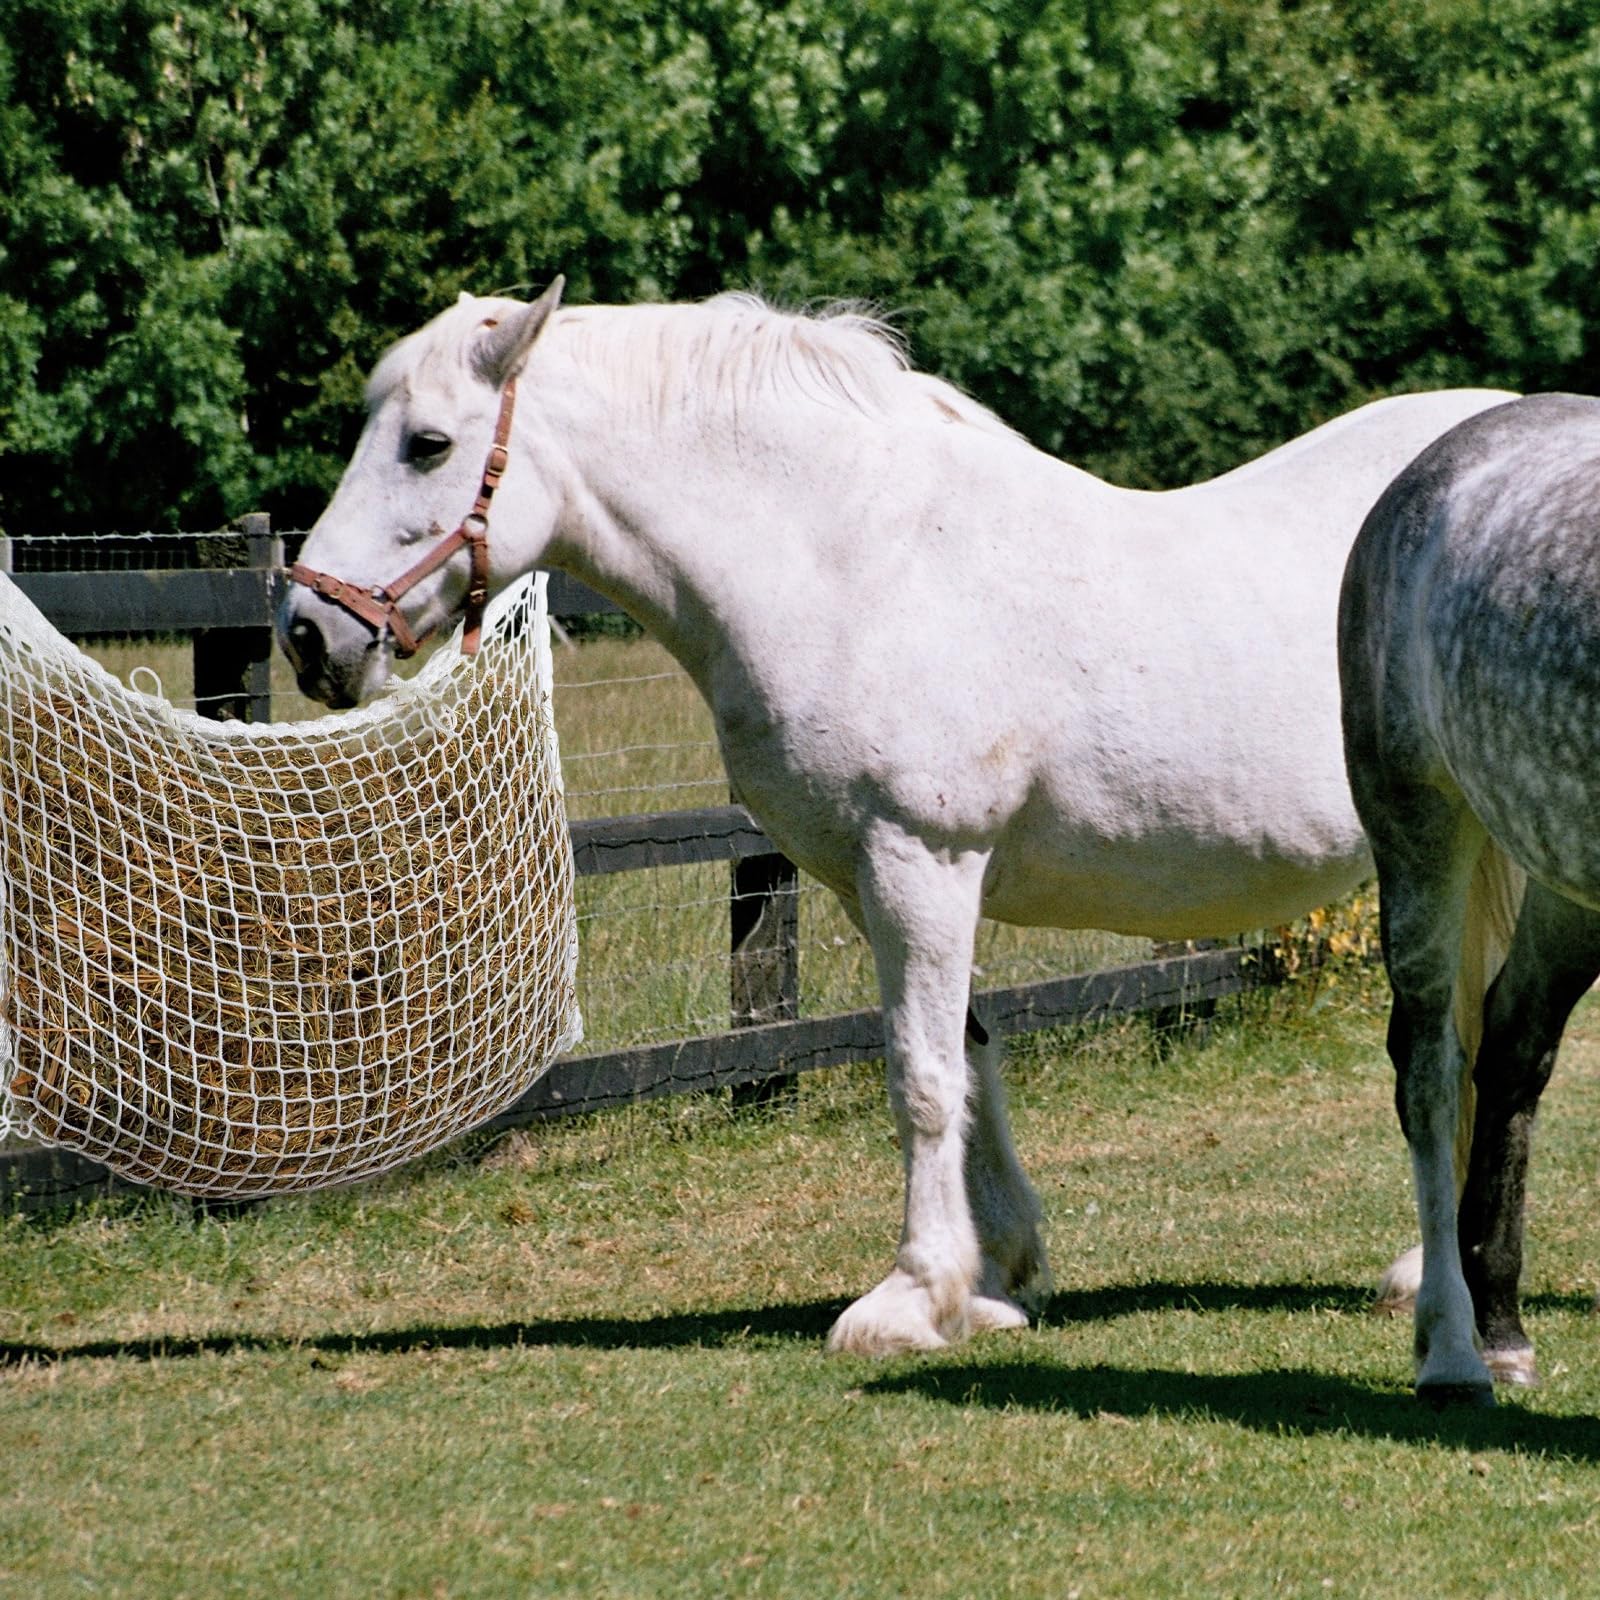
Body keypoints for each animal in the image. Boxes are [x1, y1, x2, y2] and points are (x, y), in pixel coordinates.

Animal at [279, 277, 1513, 1357]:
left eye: (427, 444)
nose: (307, 633)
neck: (853, 560)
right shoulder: (884, 879)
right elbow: (966, 1059)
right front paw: (997, 1278)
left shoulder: (920, 859)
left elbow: (919, 1077)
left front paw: (912, 1299)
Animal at [1339, 392, 1600, 1405]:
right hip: (1419, 829)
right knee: (1428, 1070)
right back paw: (1453, 1351)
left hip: (1565, 881)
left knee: (1515, 1044)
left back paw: (1501, 1327)